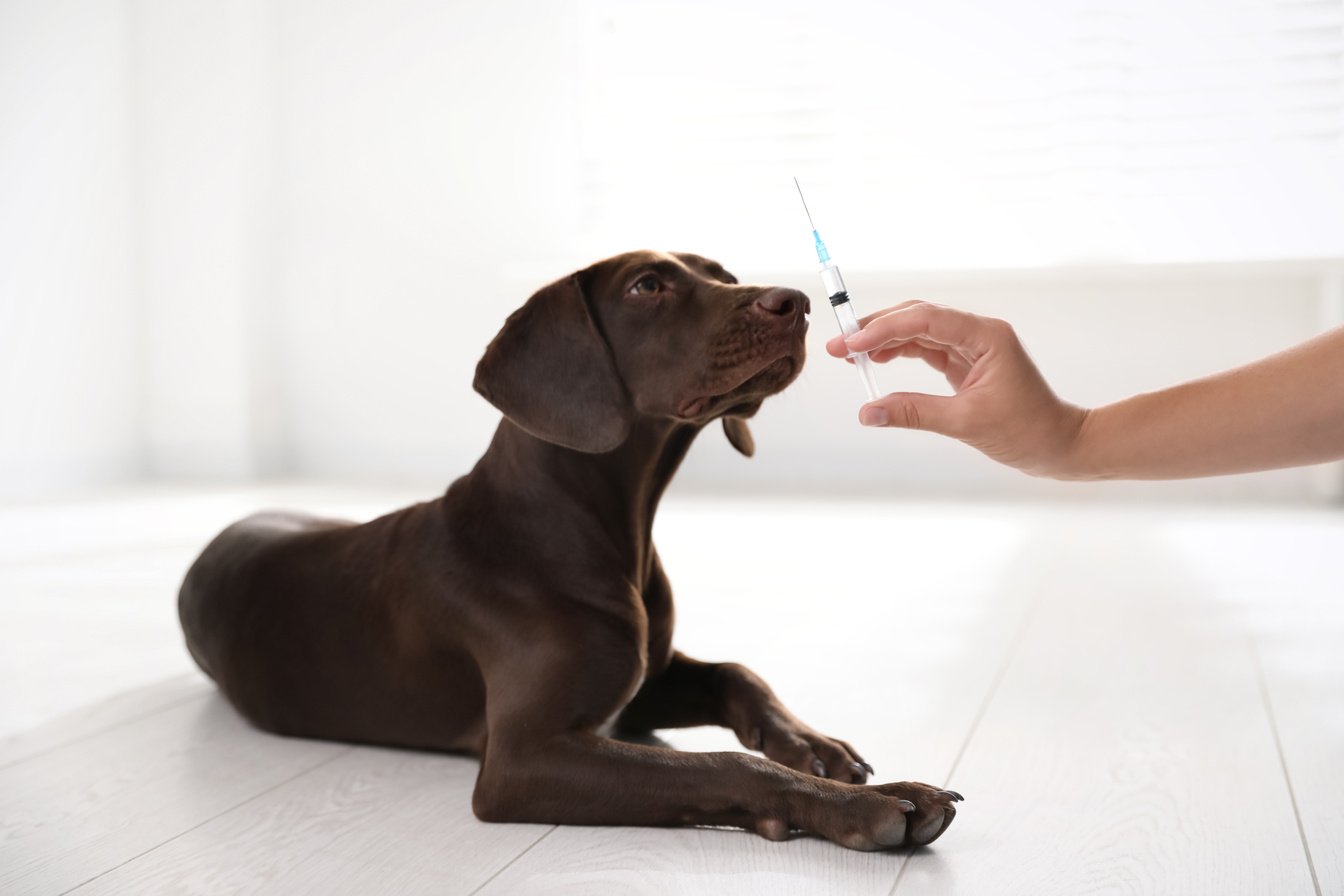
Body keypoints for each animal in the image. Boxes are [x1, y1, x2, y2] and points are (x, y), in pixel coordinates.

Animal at [178, 251, 962, 848]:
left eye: (724, 274)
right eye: (647, 287)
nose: (796, 302)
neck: (597, 525)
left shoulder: (641, 684)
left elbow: (739, 673)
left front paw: (814, 746)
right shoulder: (524, 759)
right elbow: (724, 767)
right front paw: (866, 806)